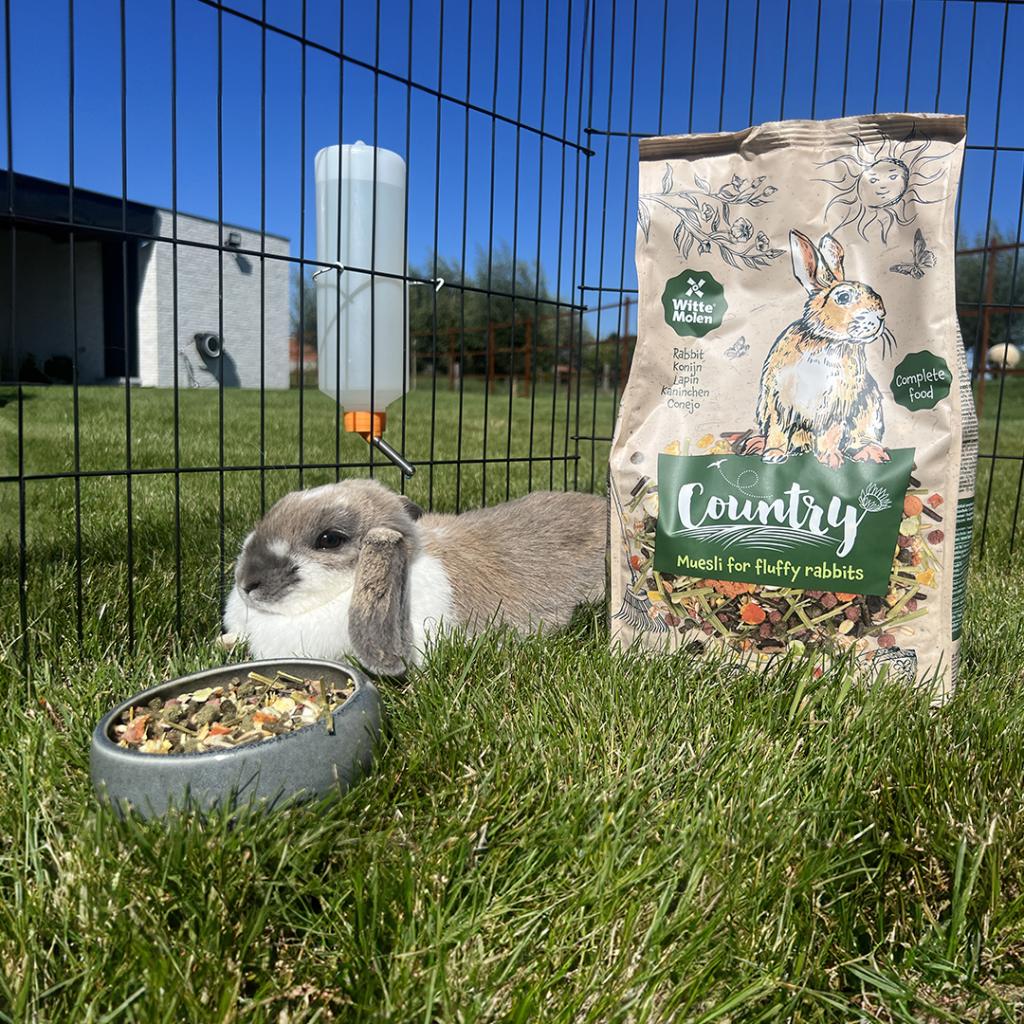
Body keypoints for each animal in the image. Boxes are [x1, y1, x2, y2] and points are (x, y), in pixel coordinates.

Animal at [749, 229, 893, 470]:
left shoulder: (836, 406)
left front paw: (831, 460)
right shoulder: (779, 402)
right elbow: (778, 430)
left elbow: (830, 434)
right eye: (843, 297)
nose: (881, 316)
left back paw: (871, 453)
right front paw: (773, 455)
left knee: (856, 440)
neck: (827, 340)